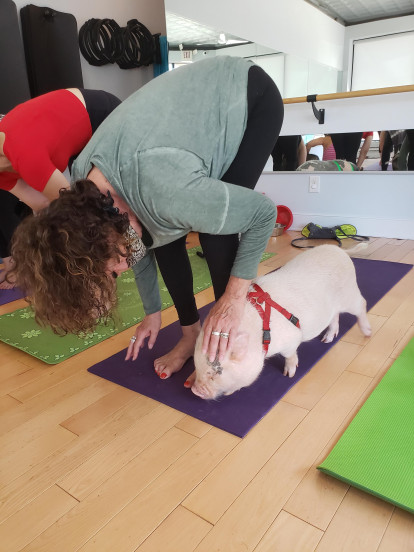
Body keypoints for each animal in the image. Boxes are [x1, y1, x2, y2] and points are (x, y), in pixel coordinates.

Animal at [192, 244, 372, 398]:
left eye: (214, 373)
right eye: (196, 365)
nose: (194, 390)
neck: (260, 338)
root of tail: (341, 251)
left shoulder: (292, 338)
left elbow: (289, 355)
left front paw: (289, 374)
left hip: (350, 293)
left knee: (362, 304)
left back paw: (368, 333)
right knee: (335, 316)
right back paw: (326, 340)